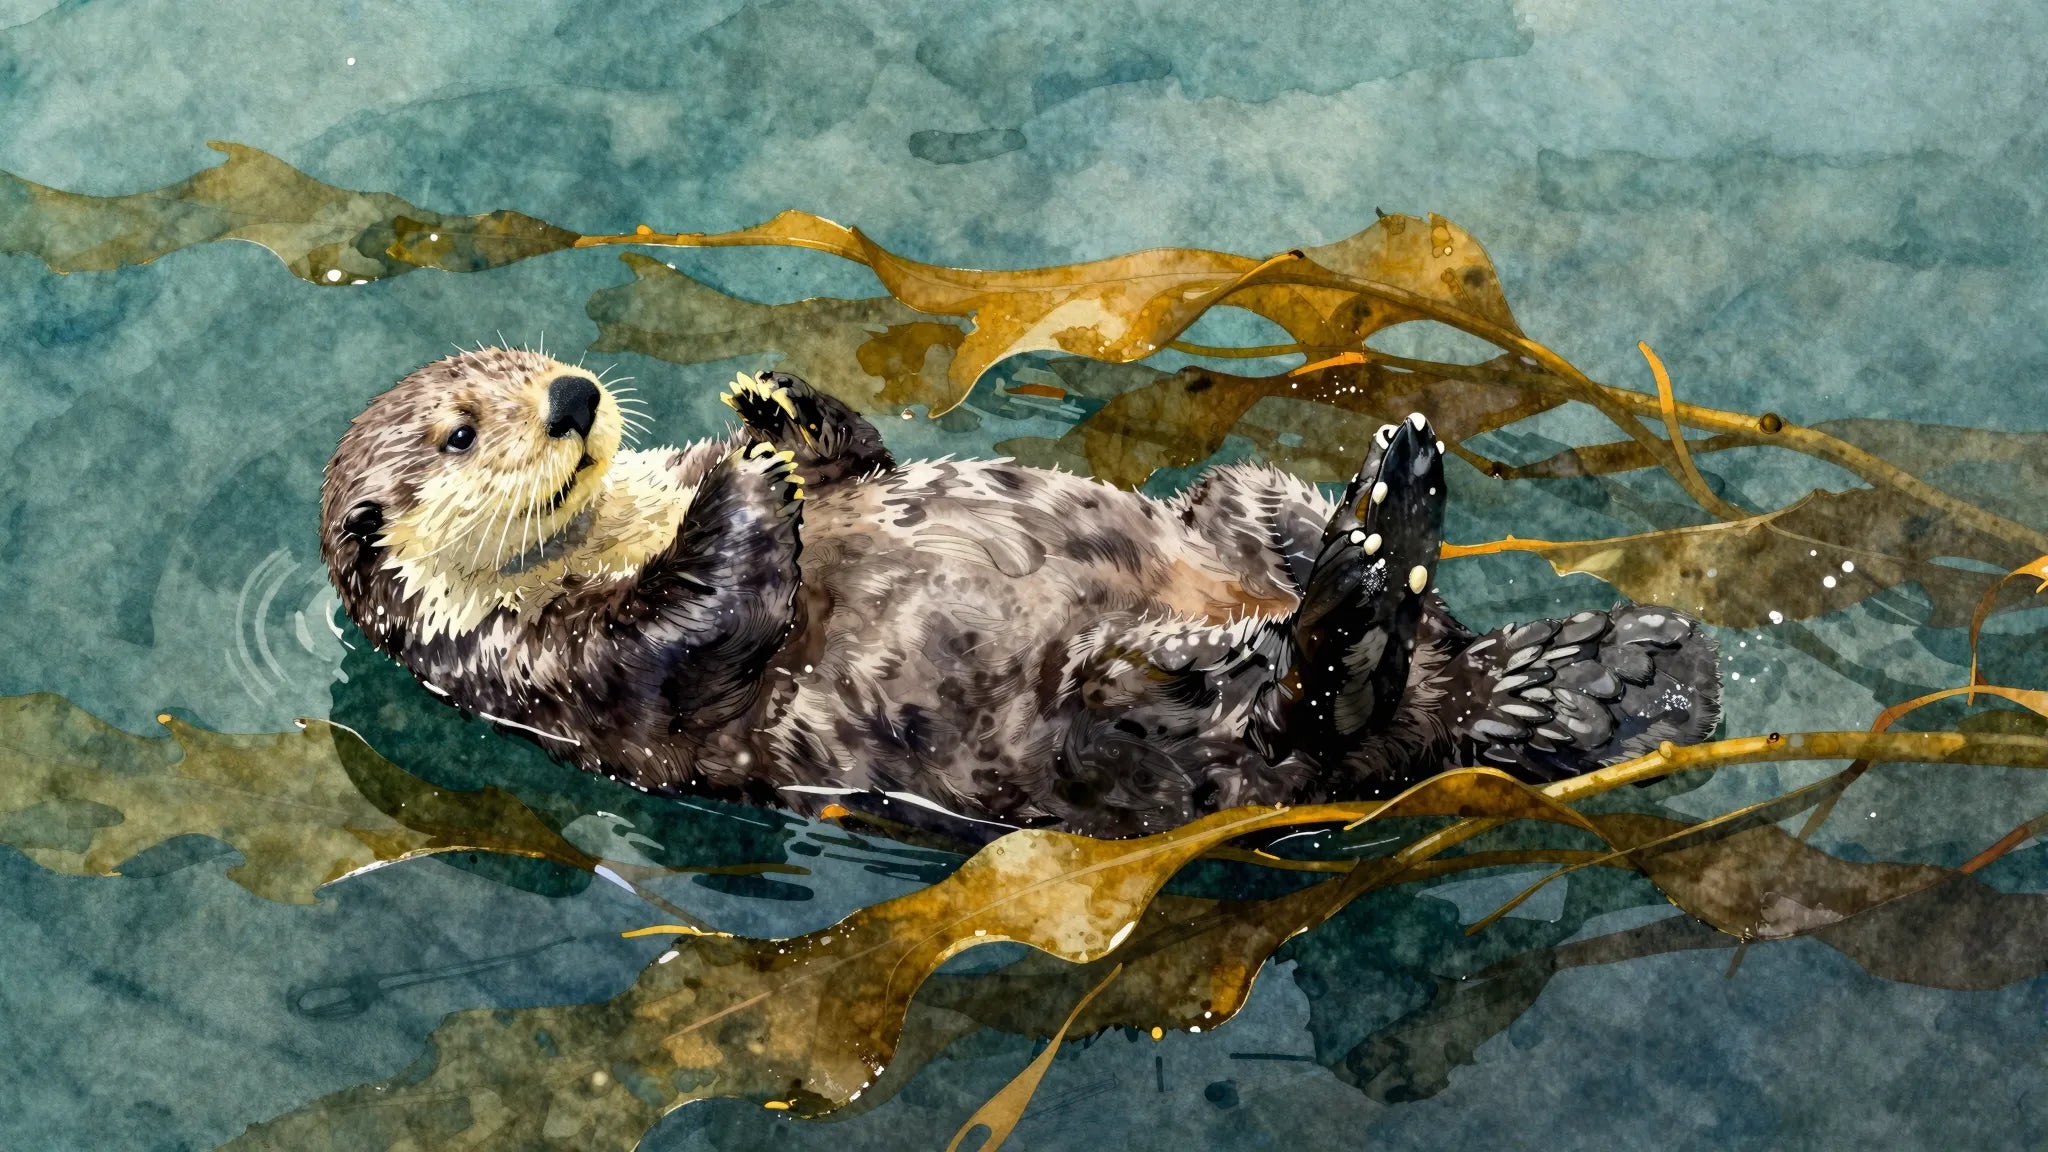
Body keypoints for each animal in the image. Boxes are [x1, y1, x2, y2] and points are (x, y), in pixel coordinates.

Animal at [320, 348, 1721, 841]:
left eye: (538, 360)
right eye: (459, 431)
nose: (573, 398)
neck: (621, 527)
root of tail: (1460, 705)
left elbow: (856, 463)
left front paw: (777, 412)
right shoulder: (560, 676)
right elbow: (700, 626)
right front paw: (741, 481)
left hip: (1234, 500)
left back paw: (1395, 507)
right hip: (1117, 719)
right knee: (1308, 714)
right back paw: (1369, 568)